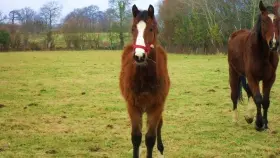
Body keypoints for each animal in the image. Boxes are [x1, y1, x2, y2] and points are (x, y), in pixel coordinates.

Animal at [118, 3, 170, 158]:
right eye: (133, 28)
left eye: (151, 28)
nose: (139, 56)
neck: (145, 79)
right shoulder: (133, 106)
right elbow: (136, 137)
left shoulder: (156, 106)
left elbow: (150, 138)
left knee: (159, 125)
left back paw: (161, 149)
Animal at [229, 0, 278, 131]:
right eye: (264, 21)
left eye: (278, 20)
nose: (274, 43)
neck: (262, 53)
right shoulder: (252, 76)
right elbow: (258, 99)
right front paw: (259, 123)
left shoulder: (270, 78)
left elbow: (265, 101)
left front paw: (264, 123)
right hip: (233, 72)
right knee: (234, 94)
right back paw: (235, 119)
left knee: (249, 92)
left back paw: (249, 116)